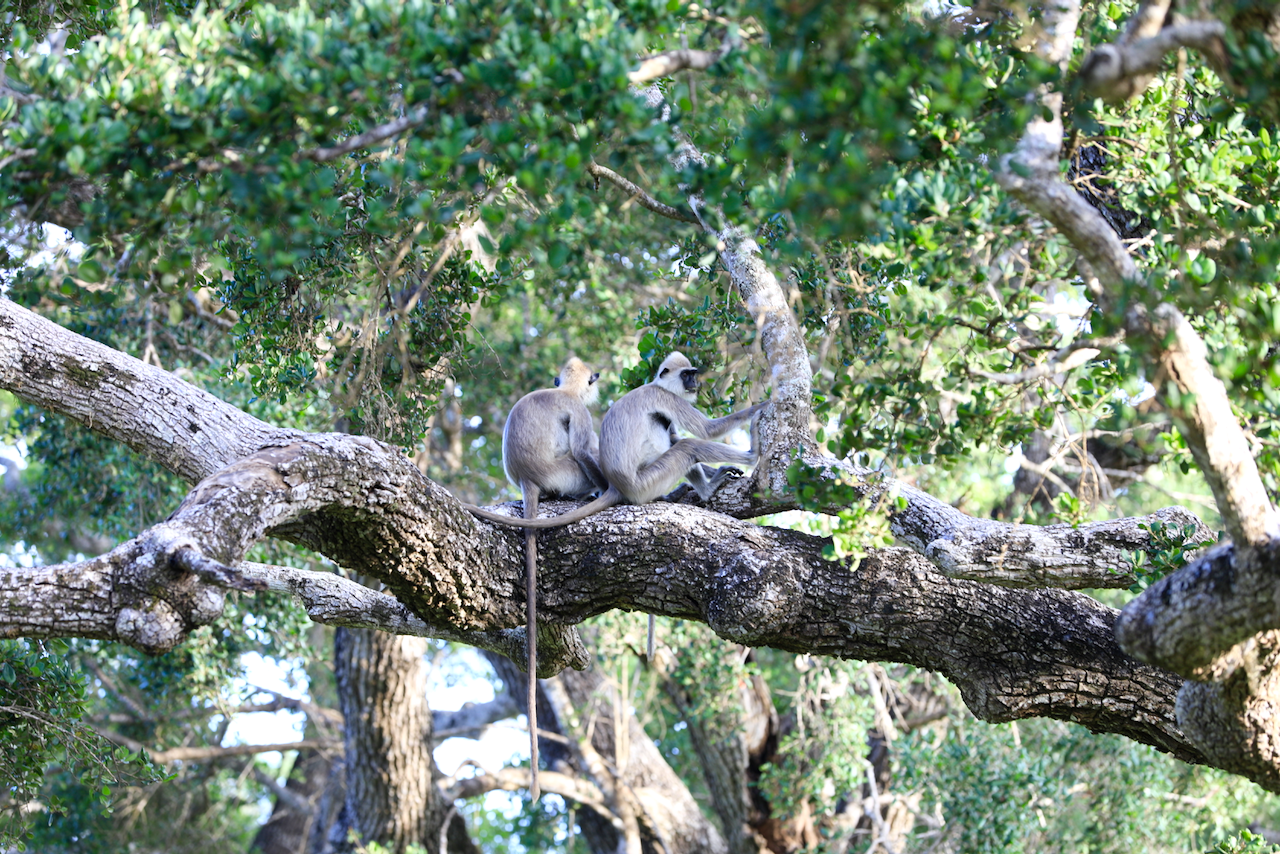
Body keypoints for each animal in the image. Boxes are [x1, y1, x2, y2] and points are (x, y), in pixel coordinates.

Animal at [463, 355, 606, 804]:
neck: (564, 391)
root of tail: (528, 479)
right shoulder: (578, 413)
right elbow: (584, 447)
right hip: (566, 473)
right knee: (582, 458)